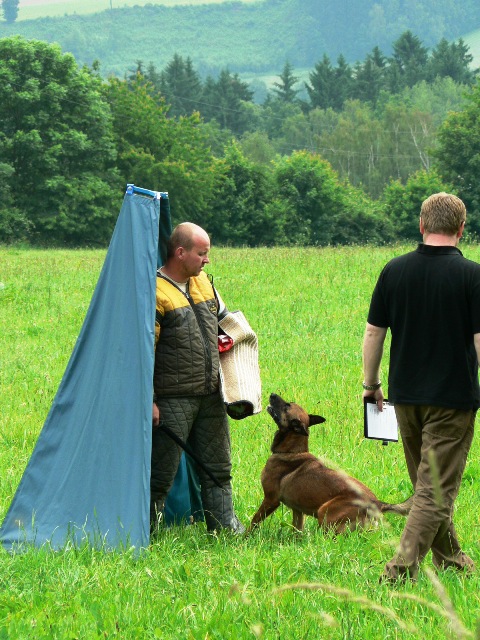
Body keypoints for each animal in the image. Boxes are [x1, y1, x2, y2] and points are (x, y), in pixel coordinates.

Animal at [248, 392, 412, 532]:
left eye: (287, 406)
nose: (272, 394)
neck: (291, 451)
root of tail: (377, 504)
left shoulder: (271, 499)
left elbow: (254, 521)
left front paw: (245, 538)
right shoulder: (298, 510)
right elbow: (297, 529)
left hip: (324, 512)